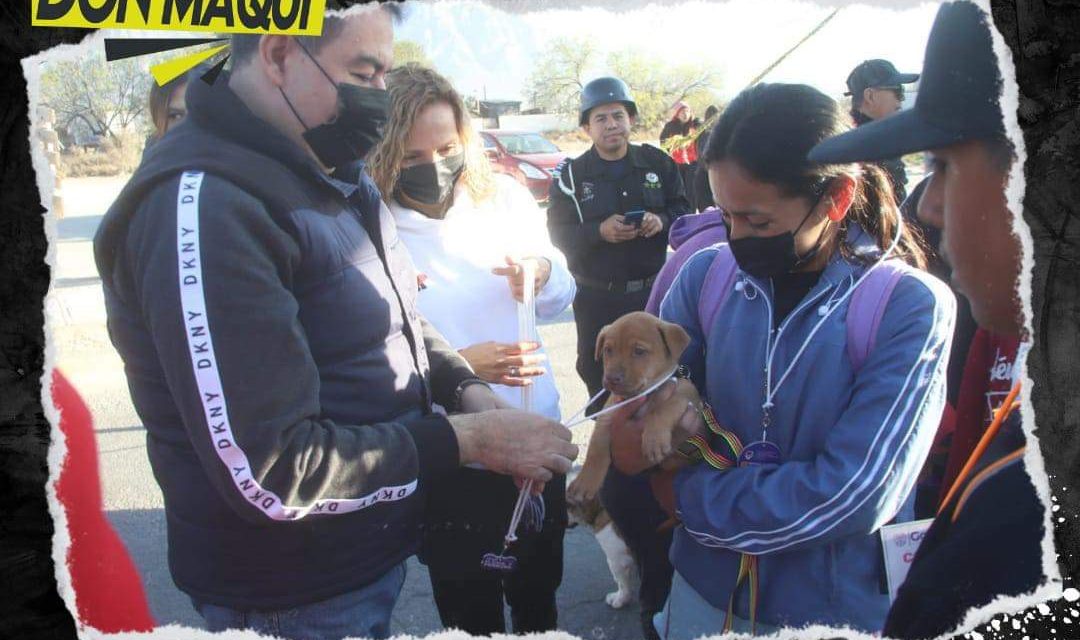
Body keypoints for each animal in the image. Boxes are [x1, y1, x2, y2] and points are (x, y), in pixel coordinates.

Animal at [565, 312, 699, 505]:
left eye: (639, 351)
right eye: (608, 350)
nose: (611, 379)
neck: (642, 394)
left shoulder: (689, 397)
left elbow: (663, 408)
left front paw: (654, 440)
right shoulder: (607, 416)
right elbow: (596, 448)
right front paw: (584, 482)